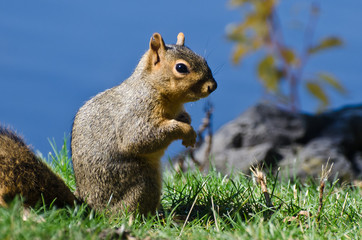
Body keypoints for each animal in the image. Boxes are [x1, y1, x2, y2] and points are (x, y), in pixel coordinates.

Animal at [0, 32, 215, 216]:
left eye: (204, 60)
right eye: (181, 68)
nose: (212, 86)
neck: (153, 87)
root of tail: (90, 208)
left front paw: (188, 124)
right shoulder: (136, 113)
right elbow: (141, 138)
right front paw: (186, 131)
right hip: (144, 183)